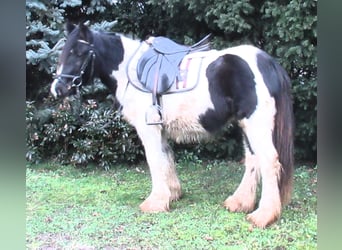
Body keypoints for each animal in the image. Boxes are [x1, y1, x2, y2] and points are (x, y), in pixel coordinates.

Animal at [50, 23, 294, 229]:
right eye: (64, 51)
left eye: (78, 52)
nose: (57, 89)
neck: (130, 71)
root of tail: (268, 62)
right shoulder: (160, 128)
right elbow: (166, 157)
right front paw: (172, 194)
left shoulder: (148, 129)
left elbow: (154, 161)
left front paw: (155, 202)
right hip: (246, 125)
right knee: (253, 159)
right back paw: (240, 202)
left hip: (256, 123)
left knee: (268, 160)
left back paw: (263, 215)